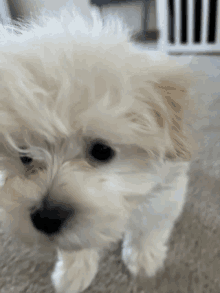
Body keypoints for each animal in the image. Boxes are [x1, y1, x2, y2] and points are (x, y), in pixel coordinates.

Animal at [0, 6, 194, 292]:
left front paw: (143, 256)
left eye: (102, 151)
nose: (46, 219)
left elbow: (148, 223)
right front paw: (74, 270)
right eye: (24, 155)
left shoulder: (166, 187)